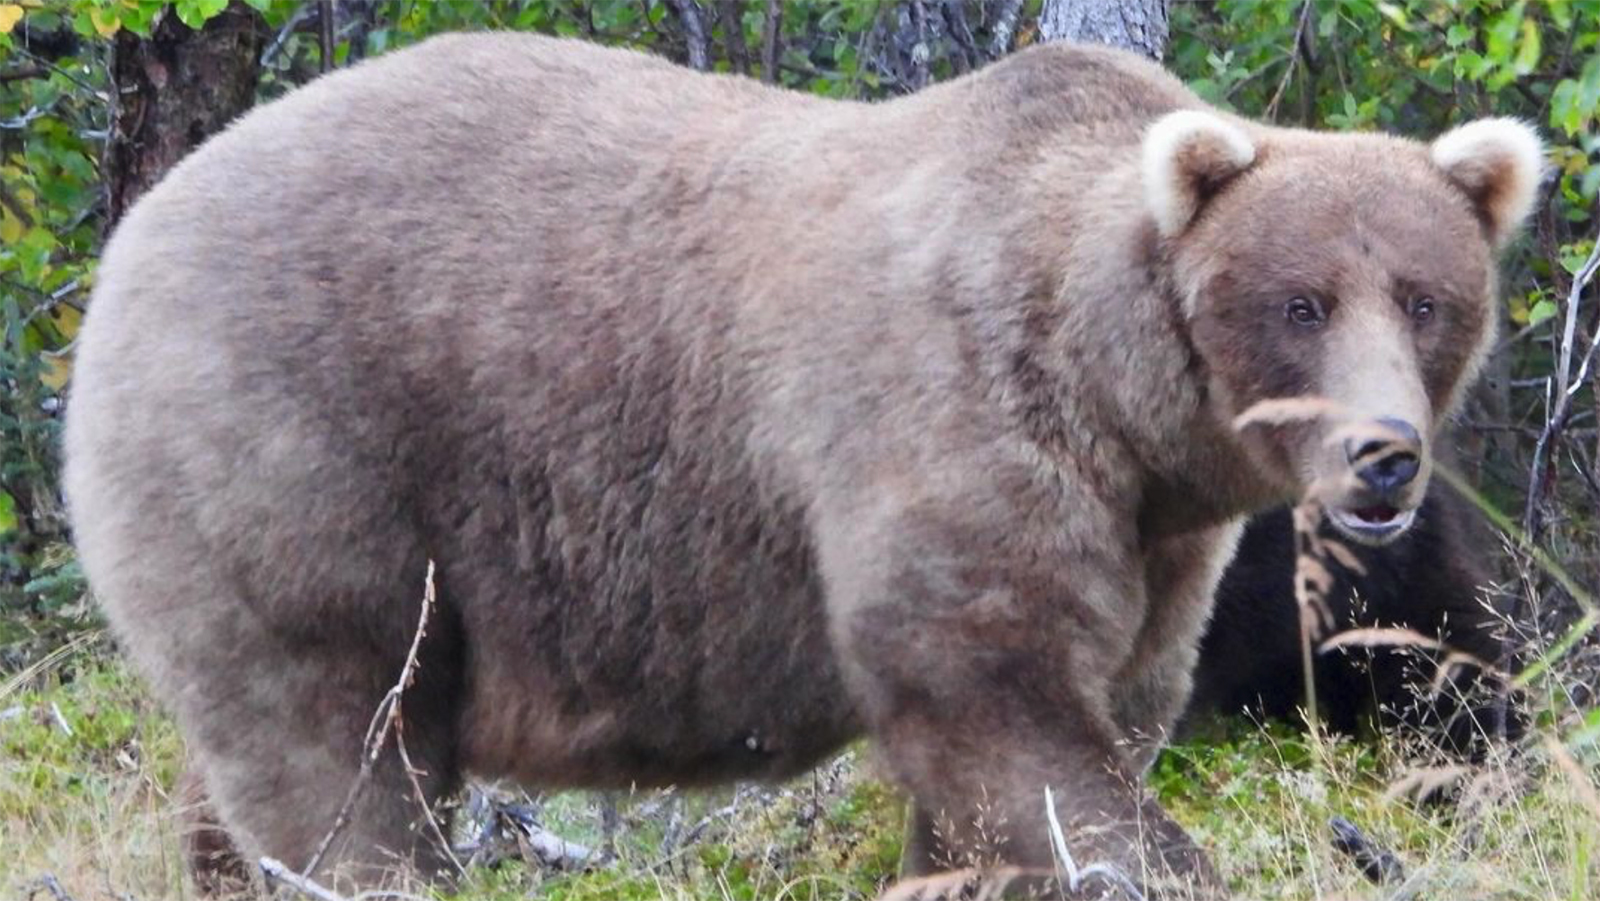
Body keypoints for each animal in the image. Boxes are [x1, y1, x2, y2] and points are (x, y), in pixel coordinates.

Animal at [62, 31, 1536, 896]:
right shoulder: (950, 413)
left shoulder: (1160, 536)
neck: (1118, 397)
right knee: (340, 741)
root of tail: (142, 220)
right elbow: (997, 693)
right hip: (303, 441)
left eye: (1424, 299)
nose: (1383, 458)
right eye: (1299, 302)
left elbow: (1107, 703)